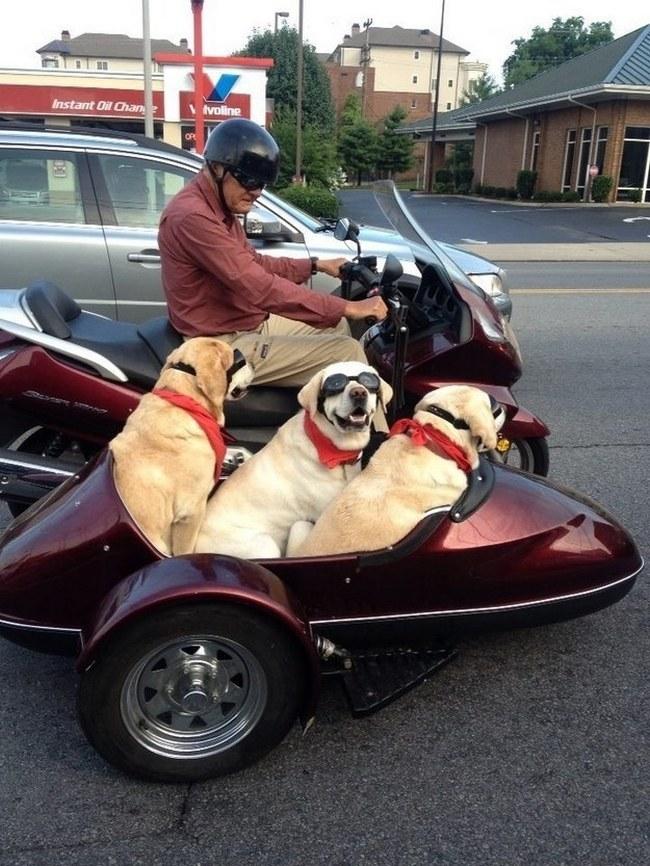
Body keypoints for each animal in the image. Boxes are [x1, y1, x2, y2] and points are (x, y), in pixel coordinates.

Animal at [194, 360, 390, 556]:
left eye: (369, 381)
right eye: (335, 384)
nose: (359, 392)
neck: (331, 447)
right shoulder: (323, 515)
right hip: (265, 545)